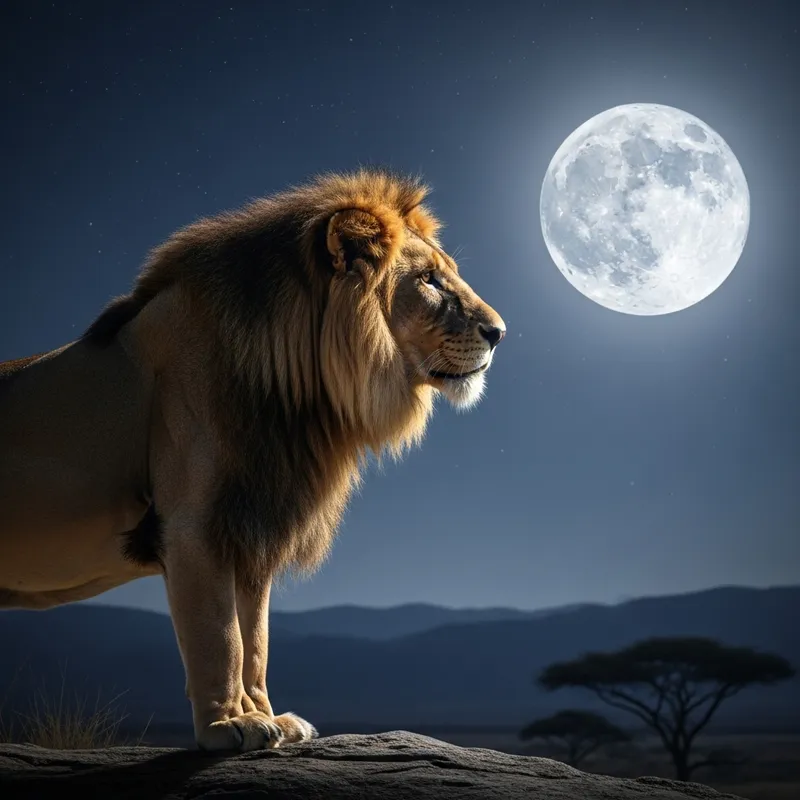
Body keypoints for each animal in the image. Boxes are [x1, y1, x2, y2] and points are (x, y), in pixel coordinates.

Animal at [0, 167, 505, 751]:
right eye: (428, 280)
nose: (500, 332)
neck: (299, 397)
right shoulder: (195, 526)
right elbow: (219, 636)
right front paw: (227, 726)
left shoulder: (253, 522)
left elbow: (255, 638)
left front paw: (269, 718)